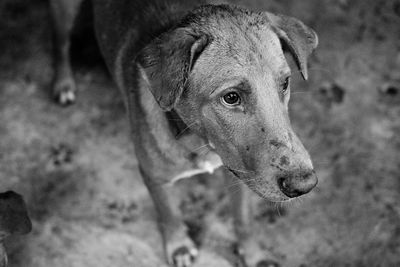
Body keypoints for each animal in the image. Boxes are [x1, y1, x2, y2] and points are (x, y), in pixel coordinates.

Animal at [50, 1, 318, 266]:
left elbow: (243, 219)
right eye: (231, 97)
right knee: (60, 41)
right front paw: (179, 246)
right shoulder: (154, 177)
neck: (200, 141)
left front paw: (253, 254)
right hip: (64, 10)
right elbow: (169, 214)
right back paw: (63, 83)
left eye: (285, 83)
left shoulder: (240, 174)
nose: (305, 185)